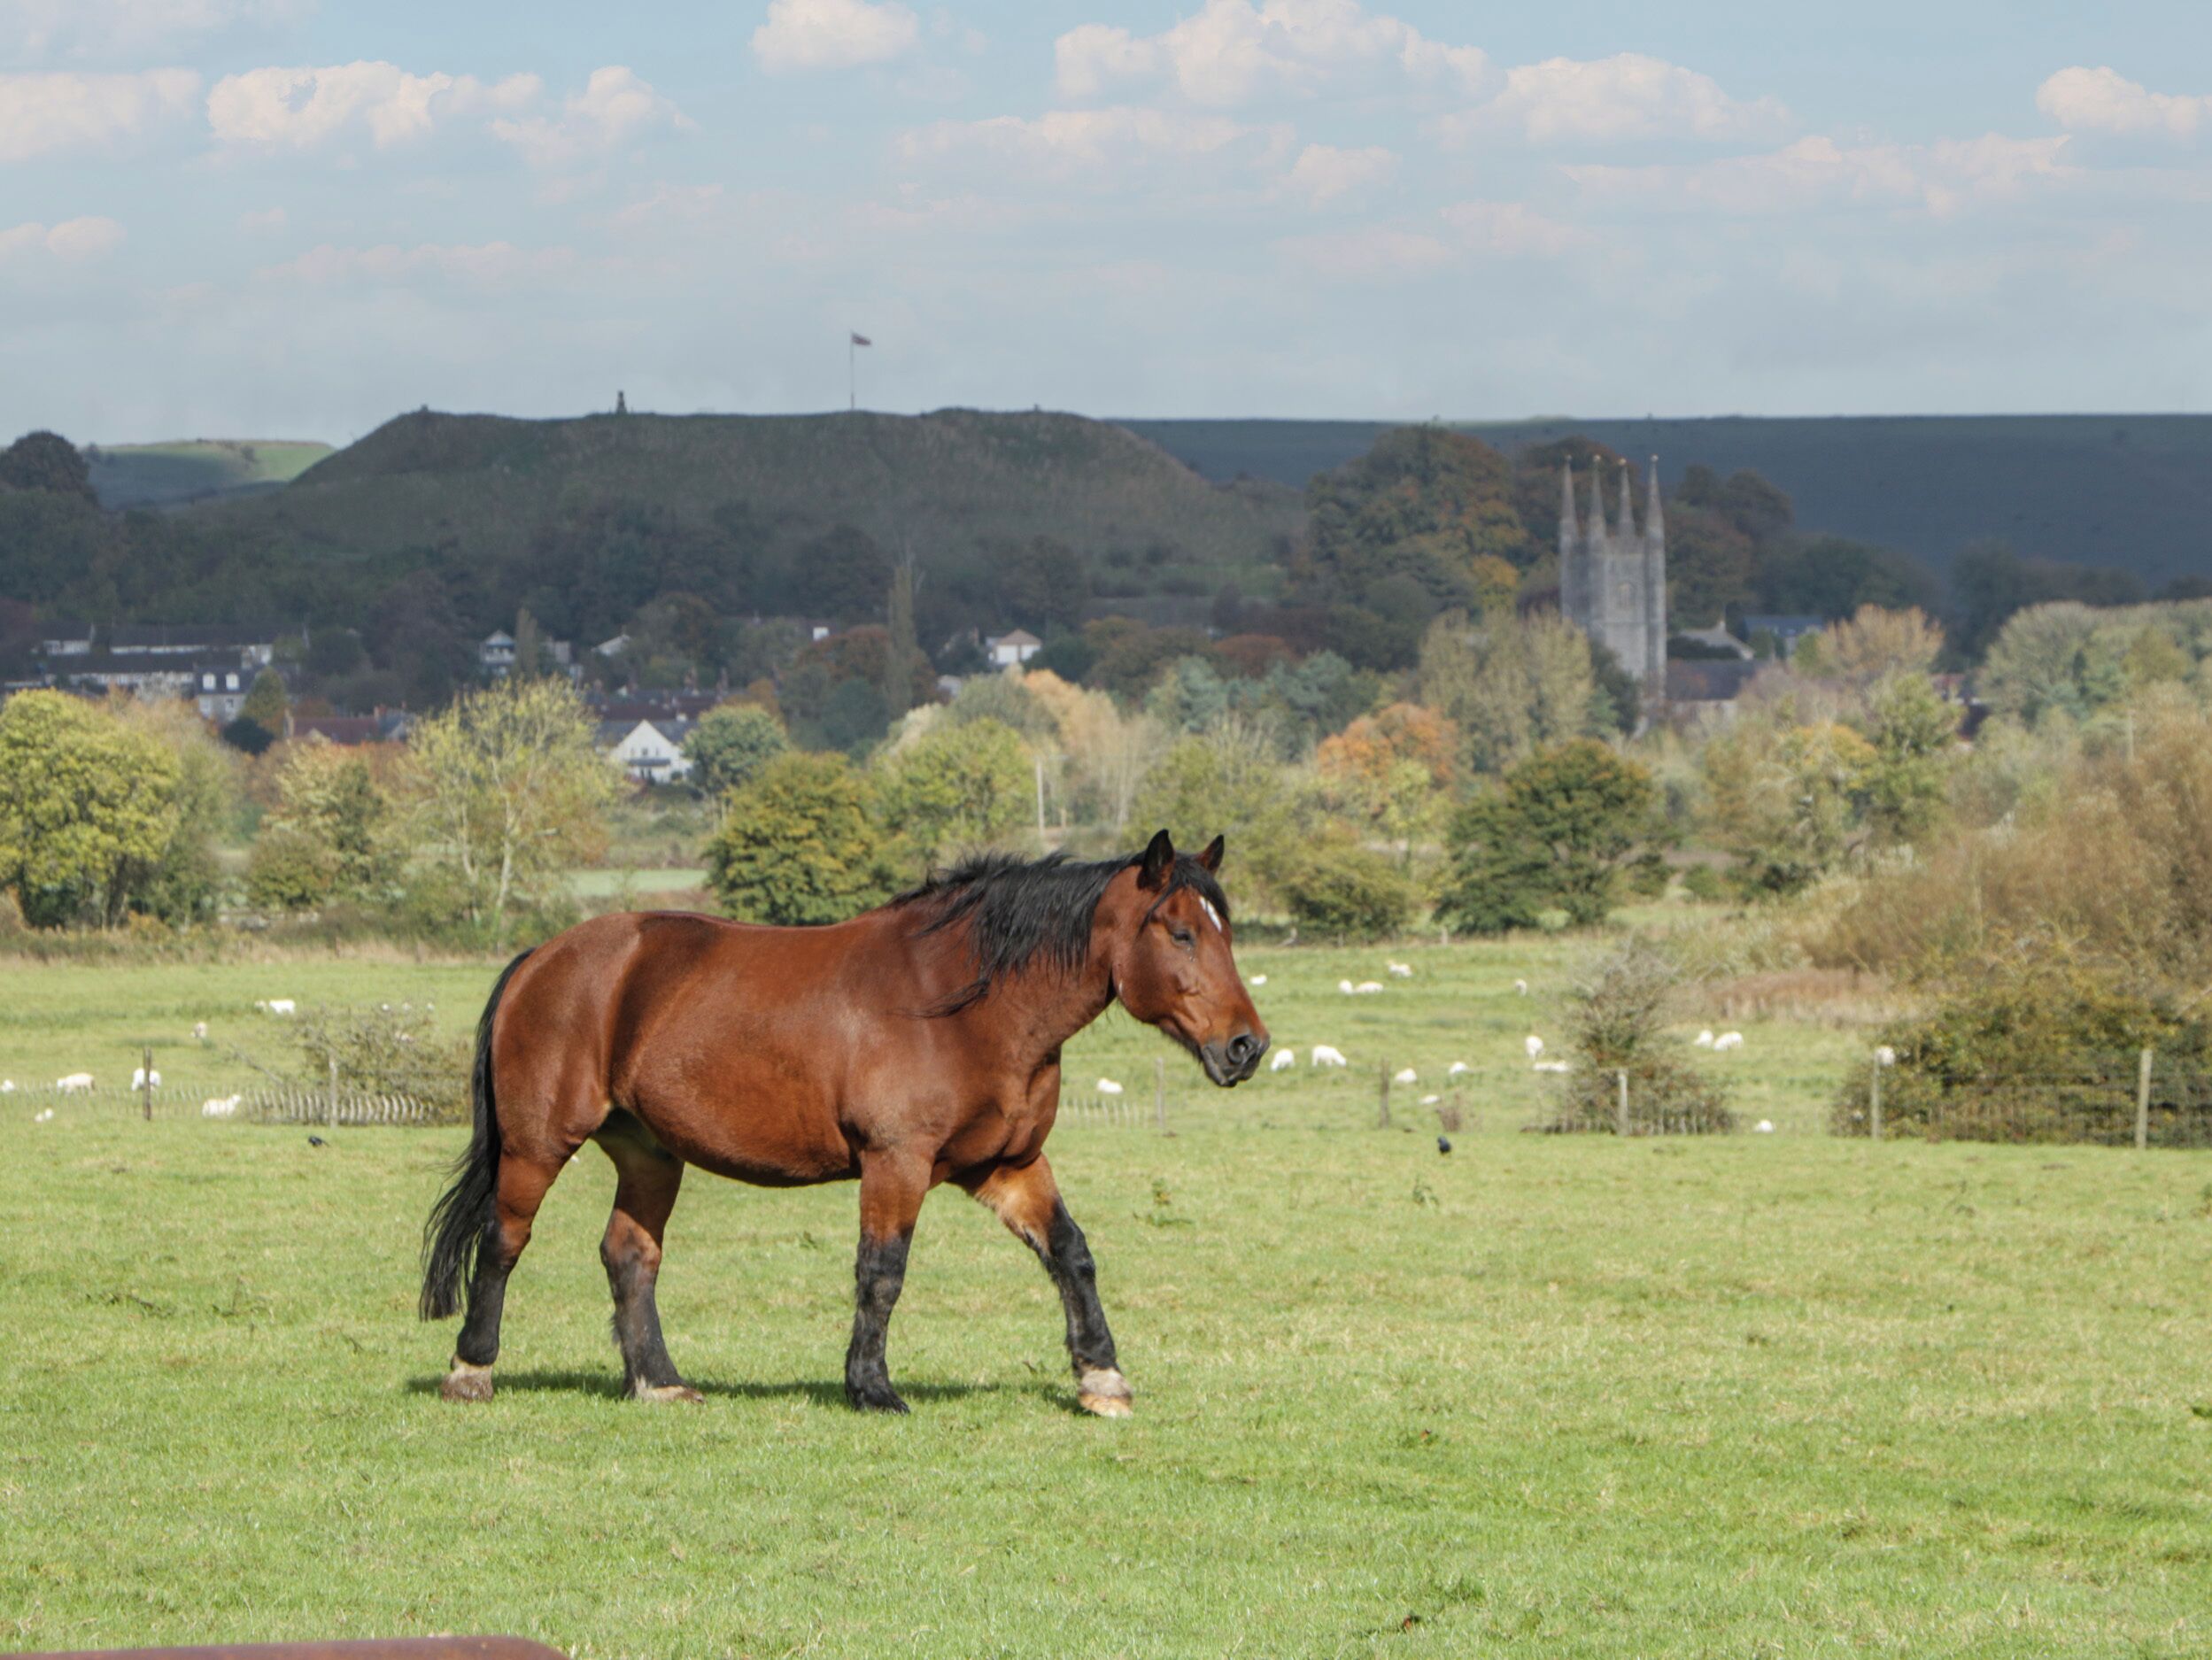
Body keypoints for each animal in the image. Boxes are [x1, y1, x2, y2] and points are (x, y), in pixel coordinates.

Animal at [420, 829, 1268, 1416]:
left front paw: (1102, 1377)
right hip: (538, 1144)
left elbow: (1071, 1254)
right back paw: (471, 1370)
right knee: (504, 1240)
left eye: (1225, 928)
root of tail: (542, 957)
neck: (962, 1002)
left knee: (630, 1254)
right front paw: (871, 1386)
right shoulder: (897, 1162)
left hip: (650, 1153)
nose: (1247, 1045)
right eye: (1181, 931)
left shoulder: (1007, 1164)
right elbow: (881, 1271)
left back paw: (659, 1382)